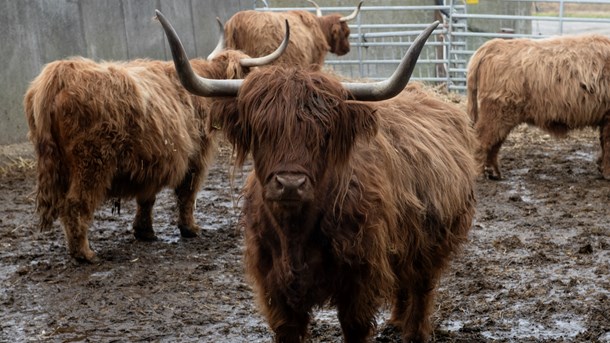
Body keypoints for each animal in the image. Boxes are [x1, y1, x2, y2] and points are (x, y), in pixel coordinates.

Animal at [25, 10, 286, 264]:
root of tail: (60, 73)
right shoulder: (195, 158)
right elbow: (186, 193)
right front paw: (190, 229)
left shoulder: (150, 162)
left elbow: (147, 199)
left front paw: (145, 232)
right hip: (92, 163)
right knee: (75, 204)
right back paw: (85, 254)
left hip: (56, 163)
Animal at [160, 16, 476, 343]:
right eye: (261, 131)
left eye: (324, 134)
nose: (290, 184)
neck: (296, 233)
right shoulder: (275, 290)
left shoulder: (358, 285)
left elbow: (356, 328)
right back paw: (396, 321)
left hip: (434, 244)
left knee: (421, 287)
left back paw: (414, 332)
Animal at [468, 33, 608, 181]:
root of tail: (494, 44)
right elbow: (608, 145)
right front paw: (607, 173)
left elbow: (604, 144)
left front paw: (602, 168)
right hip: (497, 112)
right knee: (481, 140)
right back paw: (478, 174)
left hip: (503, 115)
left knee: (494, 144)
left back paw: (494, 173)